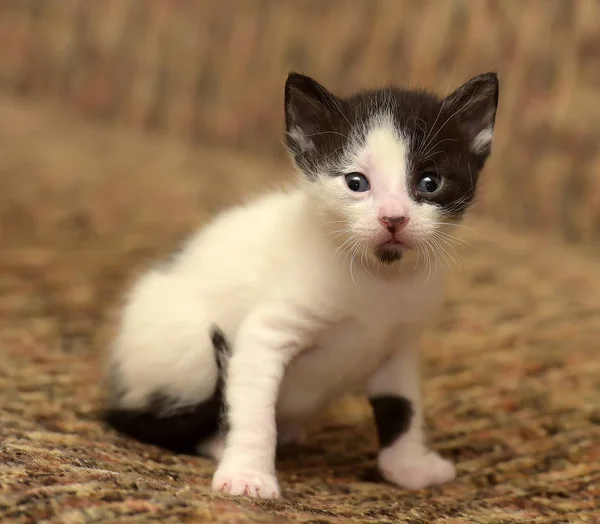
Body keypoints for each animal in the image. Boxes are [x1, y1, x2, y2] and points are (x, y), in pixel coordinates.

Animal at [105, 70, 500, 500]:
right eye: (356, 182)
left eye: (430, 182)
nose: (393, 218)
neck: (378, 279)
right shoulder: (263, 336)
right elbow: (254, 412)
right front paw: (248, 474)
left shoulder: (398, 347)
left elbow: (403, 408)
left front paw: (407, 467)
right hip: (188, 352)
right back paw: (218, 443)